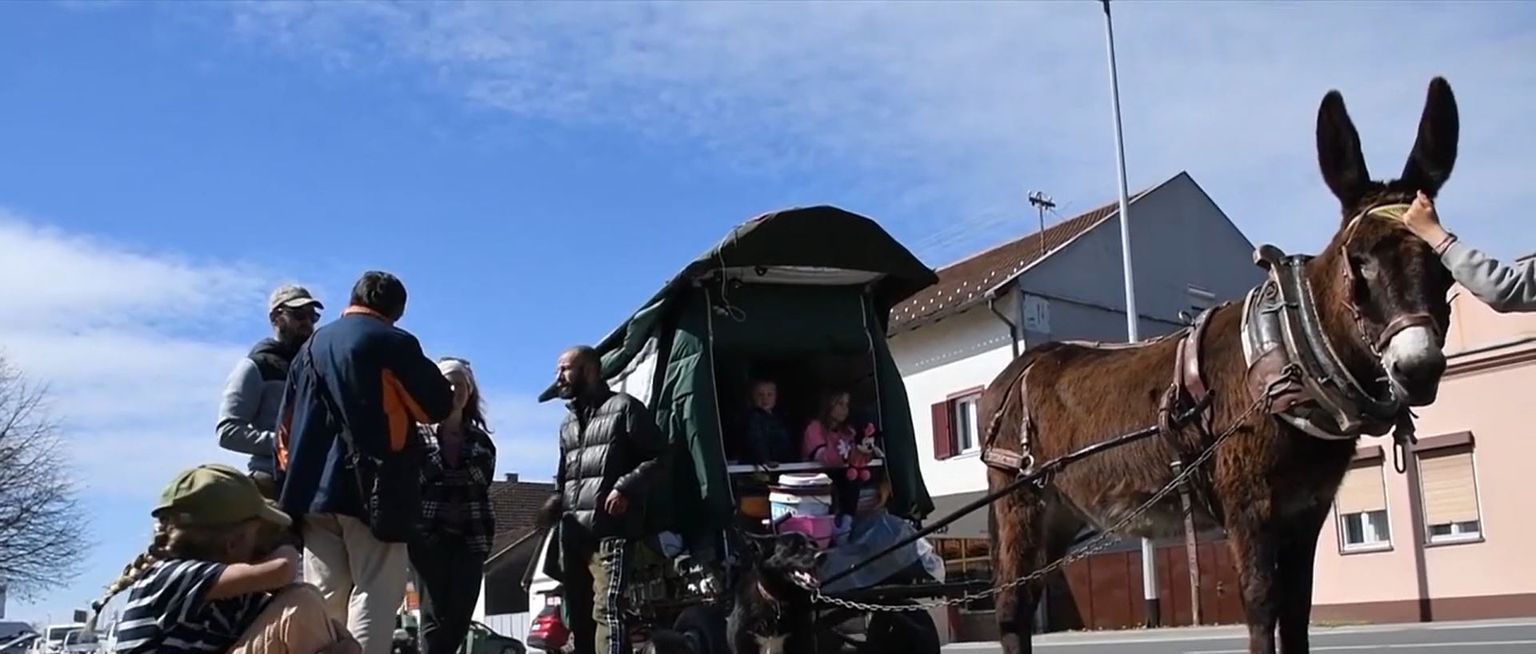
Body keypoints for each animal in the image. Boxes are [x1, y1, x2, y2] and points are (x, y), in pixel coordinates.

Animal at [978, 77, 1460, 654]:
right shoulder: (1249, 506)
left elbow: (1298, 612)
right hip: (1020, 502)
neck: (1291, 352)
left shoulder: (1306, 512)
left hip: (1059, 512)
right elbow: (1261, 604)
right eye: (1358, 261)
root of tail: (1013, 372)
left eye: (1444, 266)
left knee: (1024, 603)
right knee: (1010, 609)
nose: (1419, 369)